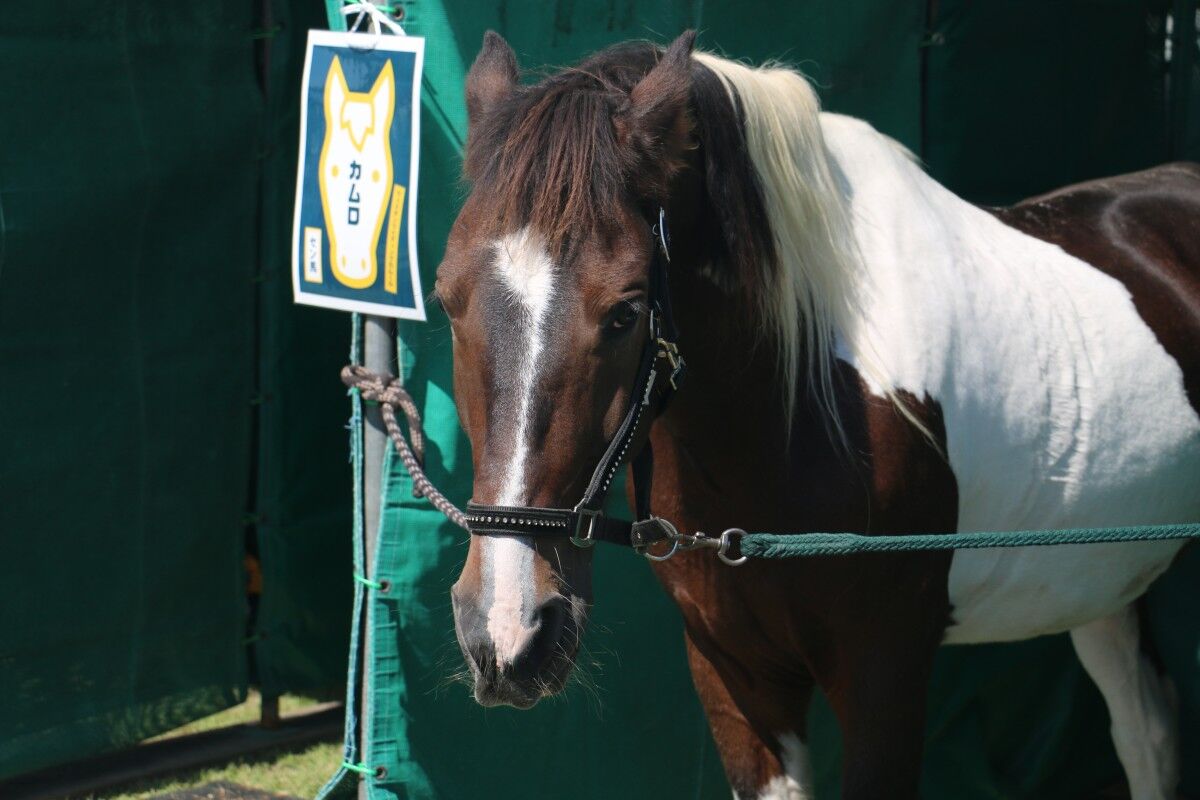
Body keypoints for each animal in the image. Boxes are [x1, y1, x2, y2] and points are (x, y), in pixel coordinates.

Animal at [439, 30, 1200, 800]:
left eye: (625, 312)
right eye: (446, 298)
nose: (508, 634)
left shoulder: (885, 672)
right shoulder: (734, 672)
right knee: (1148, 734)